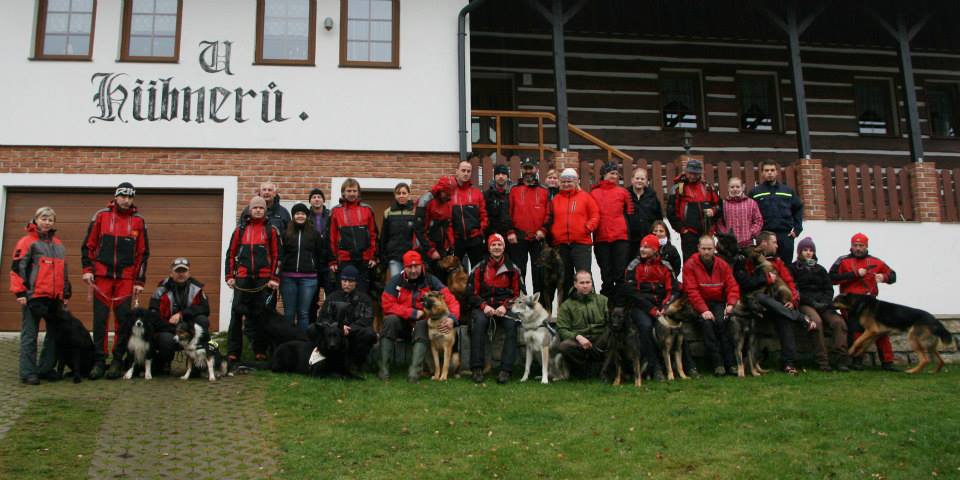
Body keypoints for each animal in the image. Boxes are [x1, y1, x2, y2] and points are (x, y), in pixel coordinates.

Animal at [828, 292, 956, 376]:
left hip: (913, 339)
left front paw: (850, 351)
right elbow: (865, 345)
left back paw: (911, 371)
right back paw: (934, 371)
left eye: (835, 300)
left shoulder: (871, 330)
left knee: (925, 360)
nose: (826, 305)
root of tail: (935, 321)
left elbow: (857, 341)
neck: (860, 302)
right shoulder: (876, 333)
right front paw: (857, 353)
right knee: (941, 360)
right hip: (930, 346)